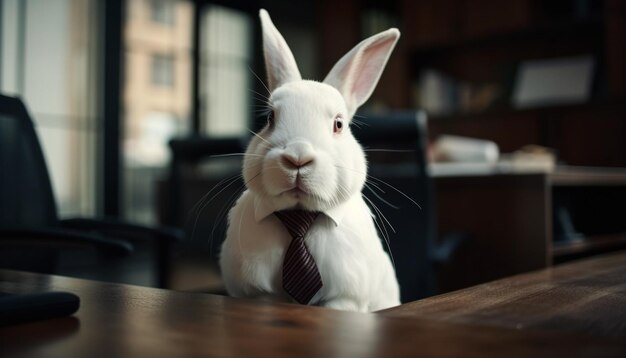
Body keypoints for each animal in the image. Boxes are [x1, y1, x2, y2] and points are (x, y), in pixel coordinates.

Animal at [219, 7, 400, 310]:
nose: (297, 158)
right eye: (270, 118)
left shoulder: (344, 299)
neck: (300, 216)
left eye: (338, 124)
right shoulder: (259, 295)